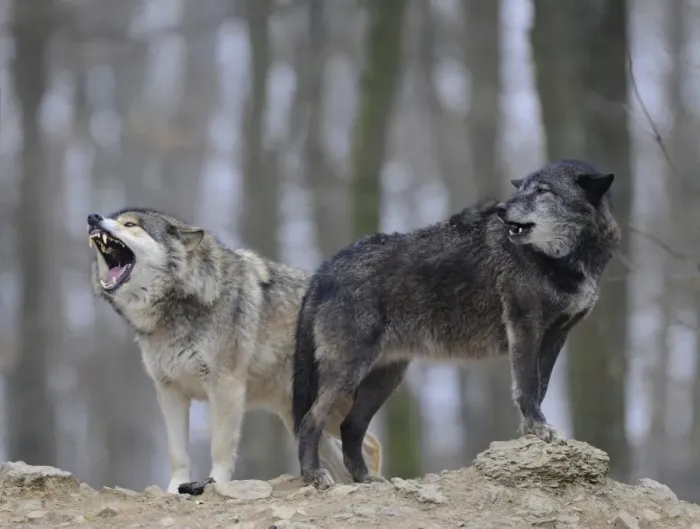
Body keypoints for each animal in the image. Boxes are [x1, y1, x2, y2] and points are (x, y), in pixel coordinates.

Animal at [87, 208, 382, 494]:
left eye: (130, 225)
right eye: (113, 218)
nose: (93, 218)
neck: (178, 304)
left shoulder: (224, 387)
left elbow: (220, 448)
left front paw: (214, 484)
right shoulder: (169, 391)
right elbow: (177, 453)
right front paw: (173, 490)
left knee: (372, 443)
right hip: (299, 419)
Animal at [292, 159, 621, 489]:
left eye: (542, 190)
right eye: (523, 189)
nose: (501, 208)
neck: (562, 260)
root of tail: (325, 268)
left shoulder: (556, 337)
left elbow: (539, 389)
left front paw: (530, 433)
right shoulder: (525, 327)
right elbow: (527, 388)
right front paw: (540, 430)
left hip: (384, 380)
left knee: (350, 426)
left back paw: (366, 479)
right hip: (349, 372)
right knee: (310, 420)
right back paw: (313, 476)